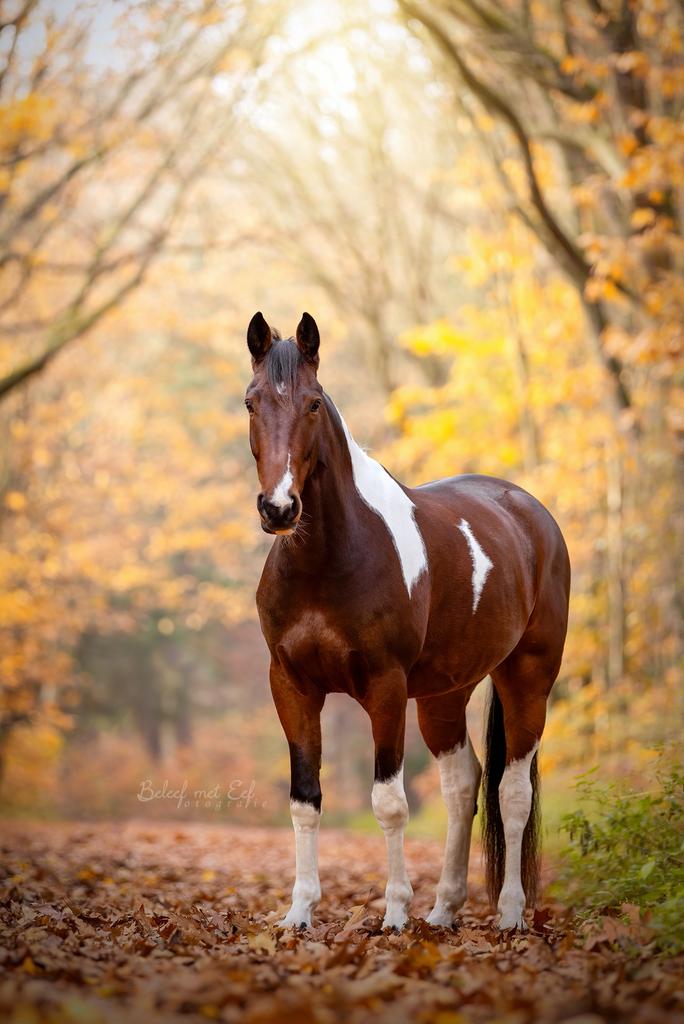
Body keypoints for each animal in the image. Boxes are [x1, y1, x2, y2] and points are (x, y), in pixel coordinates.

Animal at [245, 310, 570, 932]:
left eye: (313, 404)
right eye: (251, 402)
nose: (279, 509)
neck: (329, 558)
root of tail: (530, 511)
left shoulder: (386, 687)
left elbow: (390, 803)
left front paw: (394, 913)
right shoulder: (289, 685)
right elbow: (305, 799)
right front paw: (299, 911)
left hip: (527, 679)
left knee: (512, 792)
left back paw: (510, 914)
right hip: (444, 695)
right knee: (464, 785)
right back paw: (443, 910)